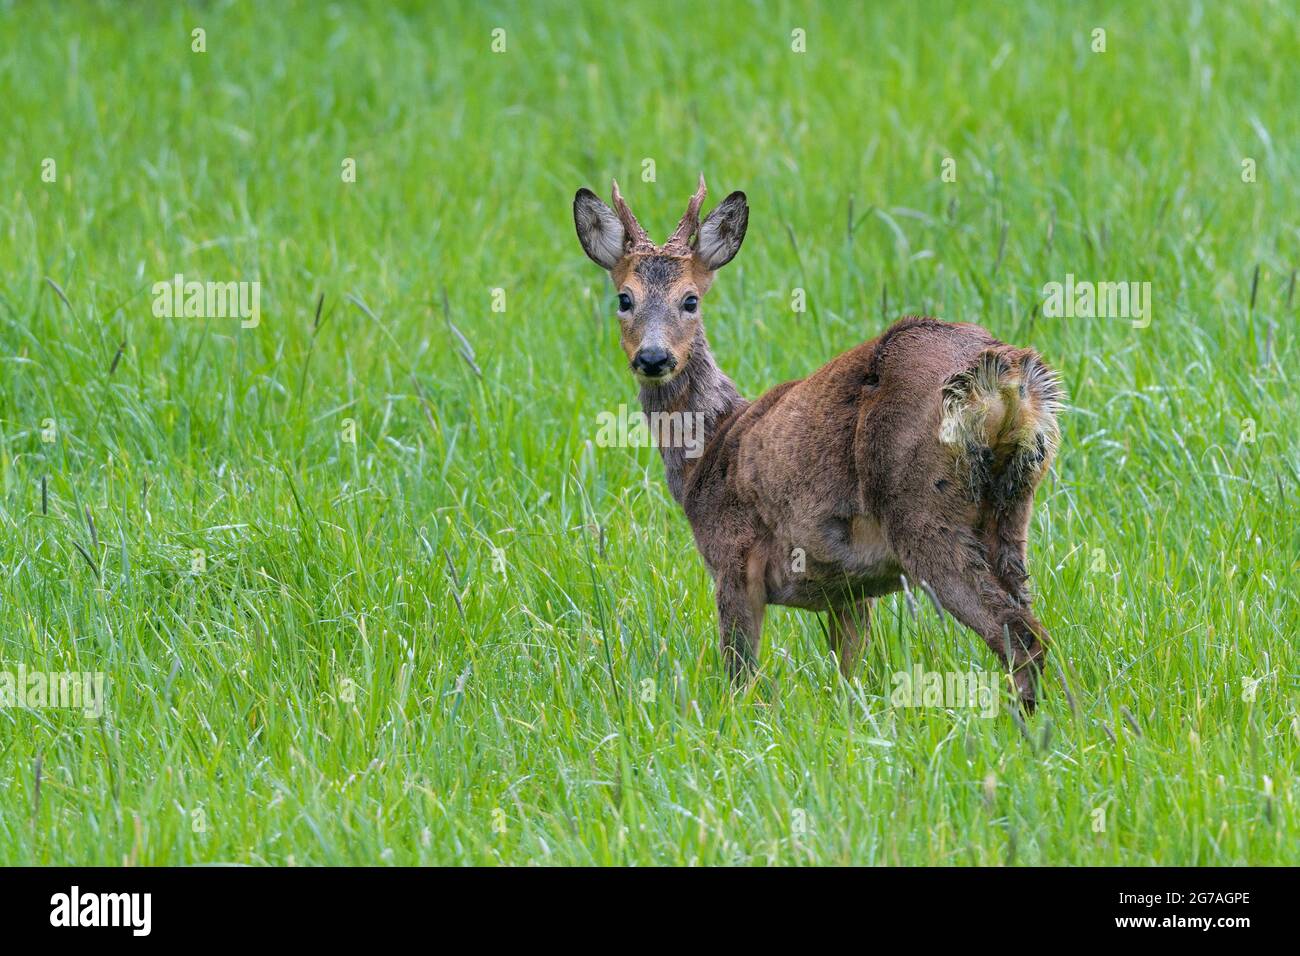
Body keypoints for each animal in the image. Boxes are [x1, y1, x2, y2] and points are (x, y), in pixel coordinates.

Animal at [574, 175, 1060, 712]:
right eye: (624, 298)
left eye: (690, 299)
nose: (654, 357)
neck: (710, 447)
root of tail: (1009, 376)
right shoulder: (848, 590)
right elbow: (850, 671)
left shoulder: (733, 558)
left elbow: (739, 673)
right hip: (1013, 505)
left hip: (922, 510)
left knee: (1021, 636)